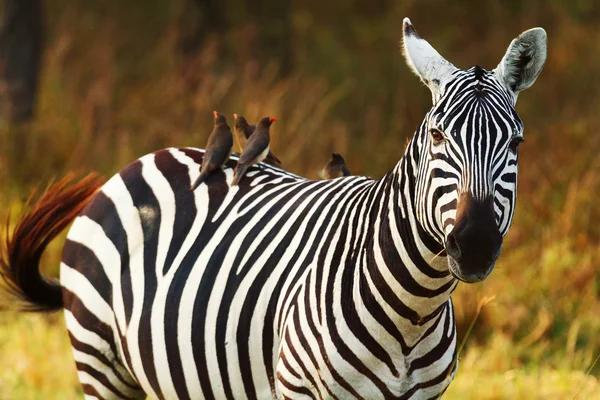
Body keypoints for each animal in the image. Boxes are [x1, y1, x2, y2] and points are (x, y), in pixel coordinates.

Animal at [0, 18, 548, 400]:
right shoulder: (299, 389)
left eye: (517, 144)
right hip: (102, 363)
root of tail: (144, 160)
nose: (474, 244)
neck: (414, 311)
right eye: (437, 137)